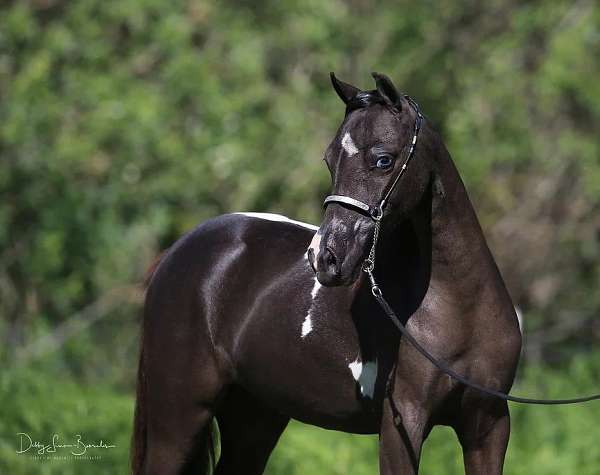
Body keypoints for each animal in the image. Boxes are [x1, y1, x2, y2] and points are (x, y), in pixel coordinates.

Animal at [131, 71, 520, 475]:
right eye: (329, 160)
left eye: (383, 160)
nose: (325, 257)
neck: (460, 309)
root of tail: (177, 251)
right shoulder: (402, 425)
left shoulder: (488, 427)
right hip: (179, 418)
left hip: (254, 418)